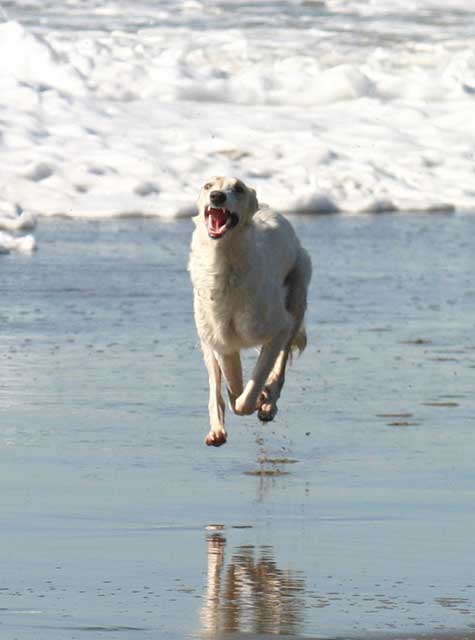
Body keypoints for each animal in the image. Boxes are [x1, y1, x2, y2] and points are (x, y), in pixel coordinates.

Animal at [190, 175, 312, 444]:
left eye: (238, 188)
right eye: (207, 185)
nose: (217, 196)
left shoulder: (279, 327)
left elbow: (251, 390)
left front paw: (261, 399)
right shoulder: (222, 342)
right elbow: (234, 390)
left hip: (297, 298)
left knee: (280, 365)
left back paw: (268, 403)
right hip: (205, 337)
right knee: (215, 387)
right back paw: (217, 431)